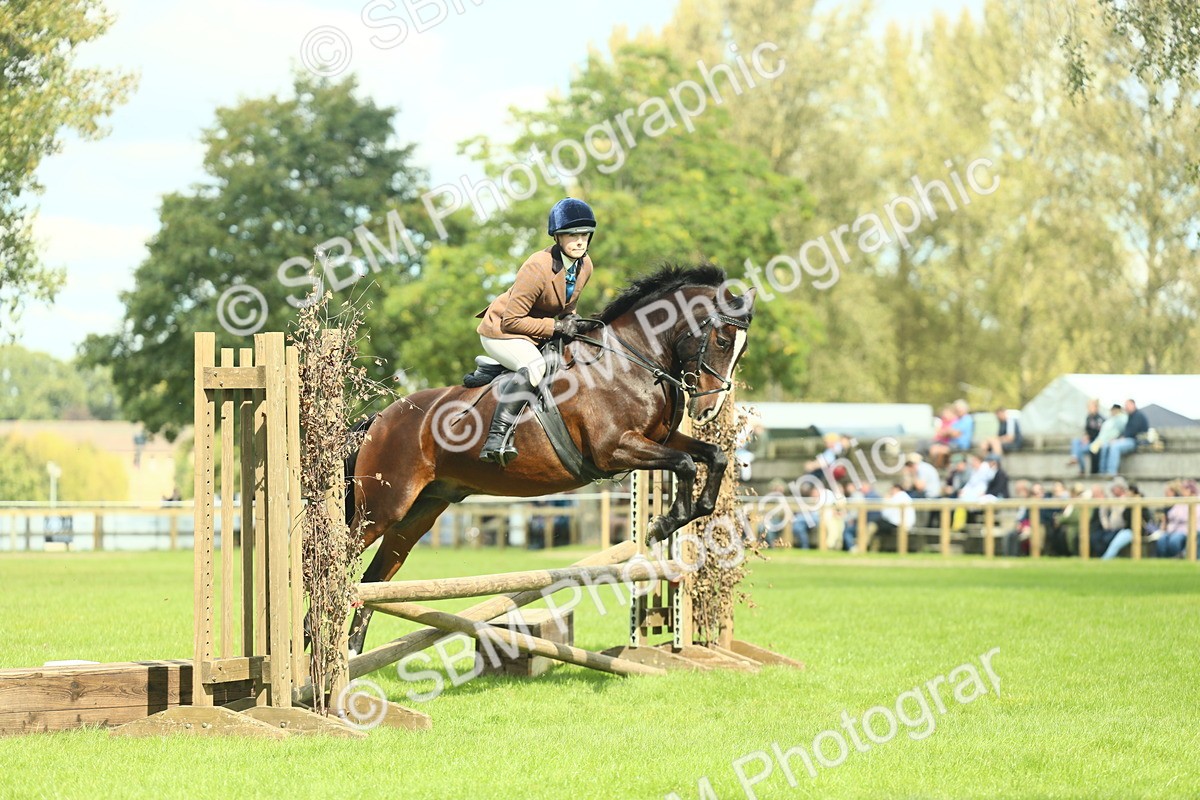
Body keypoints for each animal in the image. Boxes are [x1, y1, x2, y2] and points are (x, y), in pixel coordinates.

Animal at [344, 264, 756, 655]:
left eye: (741, 350)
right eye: (721, 340)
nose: (708, 409)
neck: (631, 362)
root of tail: (379, 420)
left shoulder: (659, 439)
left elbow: (714, 456)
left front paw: (690, 512)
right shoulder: (615, 449)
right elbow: (685, 464)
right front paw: (664, 523)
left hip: (419, 512)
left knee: (374, 579)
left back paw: (351, 650)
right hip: (382, 508)